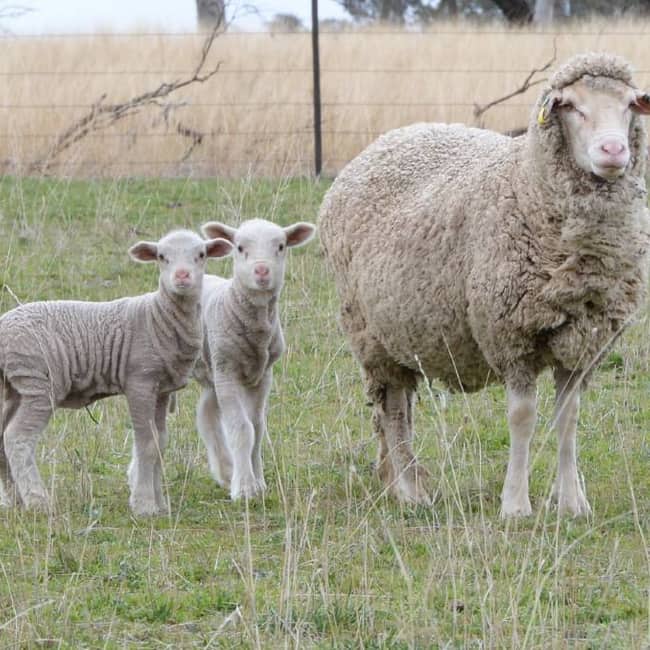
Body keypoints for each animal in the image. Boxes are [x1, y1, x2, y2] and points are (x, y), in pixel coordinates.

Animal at [0, 229, 233, 515]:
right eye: (161, 257)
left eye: (201, 255)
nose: (182, 276)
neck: (158, 316)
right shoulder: (139, 382)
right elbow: (146, 443)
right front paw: (143, 505)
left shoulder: (162, 389)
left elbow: (160, 442)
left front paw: (160, 504)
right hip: (36, 381)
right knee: (17, 437)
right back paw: (37, 501)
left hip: (14, 387)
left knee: (2, 437)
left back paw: (15, 501)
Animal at [193, 218, 316, 501]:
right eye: (239, 247)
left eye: (281, 246)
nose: (261, 270)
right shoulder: (227, 371)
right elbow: (241, 428)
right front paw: (245, 488)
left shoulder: (262, 376)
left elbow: (257, 428)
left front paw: (257, 481)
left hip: (211, 372)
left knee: (206, 415)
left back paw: (225, 471)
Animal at [319, 52, 650, 518]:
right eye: (571, 106)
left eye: (629, 105)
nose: (614, 151)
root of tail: (386, 139)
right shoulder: (512, 337)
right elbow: (523, 418)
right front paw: (515, 505)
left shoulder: (584, 342)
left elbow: (568, 418)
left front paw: (572, 503)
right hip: (368, 333)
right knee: (393, 409)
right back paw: (410, 491)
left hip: (401, 332)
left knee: (397, 407)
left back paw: (396, 482)